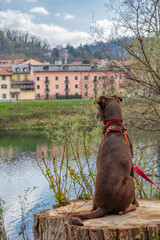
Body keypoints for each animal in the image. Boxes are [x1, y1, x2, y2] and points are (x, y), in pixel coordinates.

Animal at [68, 94, 138, 226]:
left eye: (98, 108)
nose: (95, 115)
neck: (114, 125)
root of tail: (103, 207)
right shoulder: (131, 165)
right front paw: (136, 203)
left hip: (94, 196)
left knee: (92, 208)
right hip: (130, 180)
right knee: (121, 211)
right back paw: (132, 207)